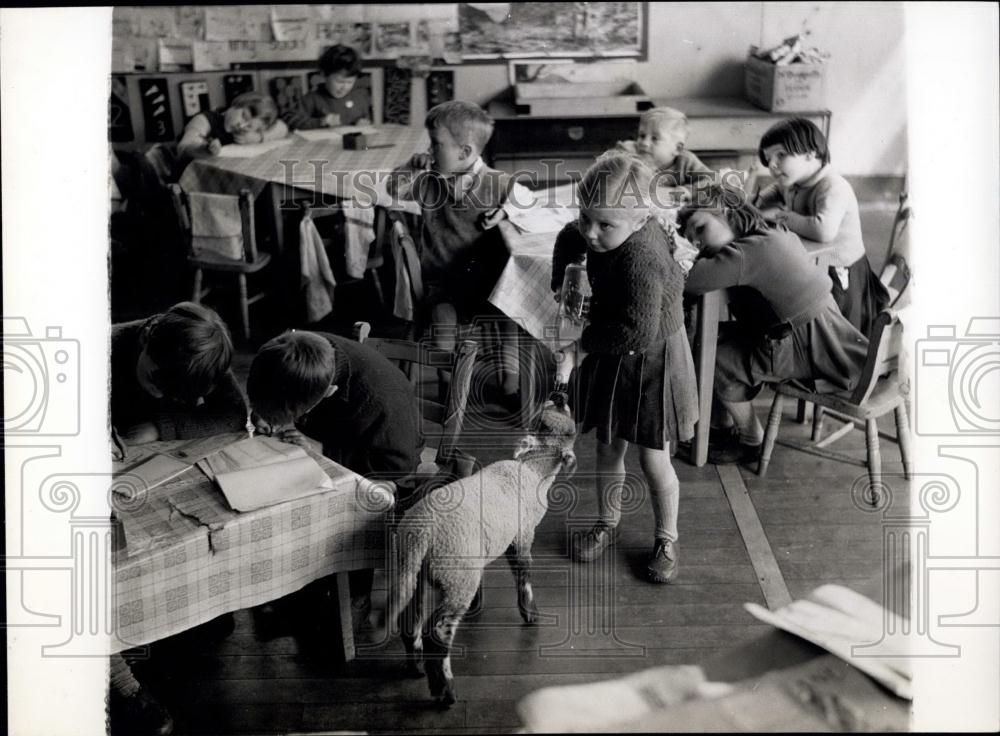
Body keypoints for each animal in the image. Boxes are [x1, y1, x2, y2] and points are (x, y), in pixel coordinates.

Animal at [382, 402, 576, 708]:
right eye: (565, 431)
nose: (559, 396)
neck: (531, 469)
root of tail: (420, 532)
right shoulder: (522, 535)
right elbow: (524, 575)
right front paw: (530, 614)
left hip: (413, 570)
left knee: (409, 621)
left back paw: (416, 668)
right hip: (456, 574)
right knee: (437, 633)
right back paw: (444, 691)